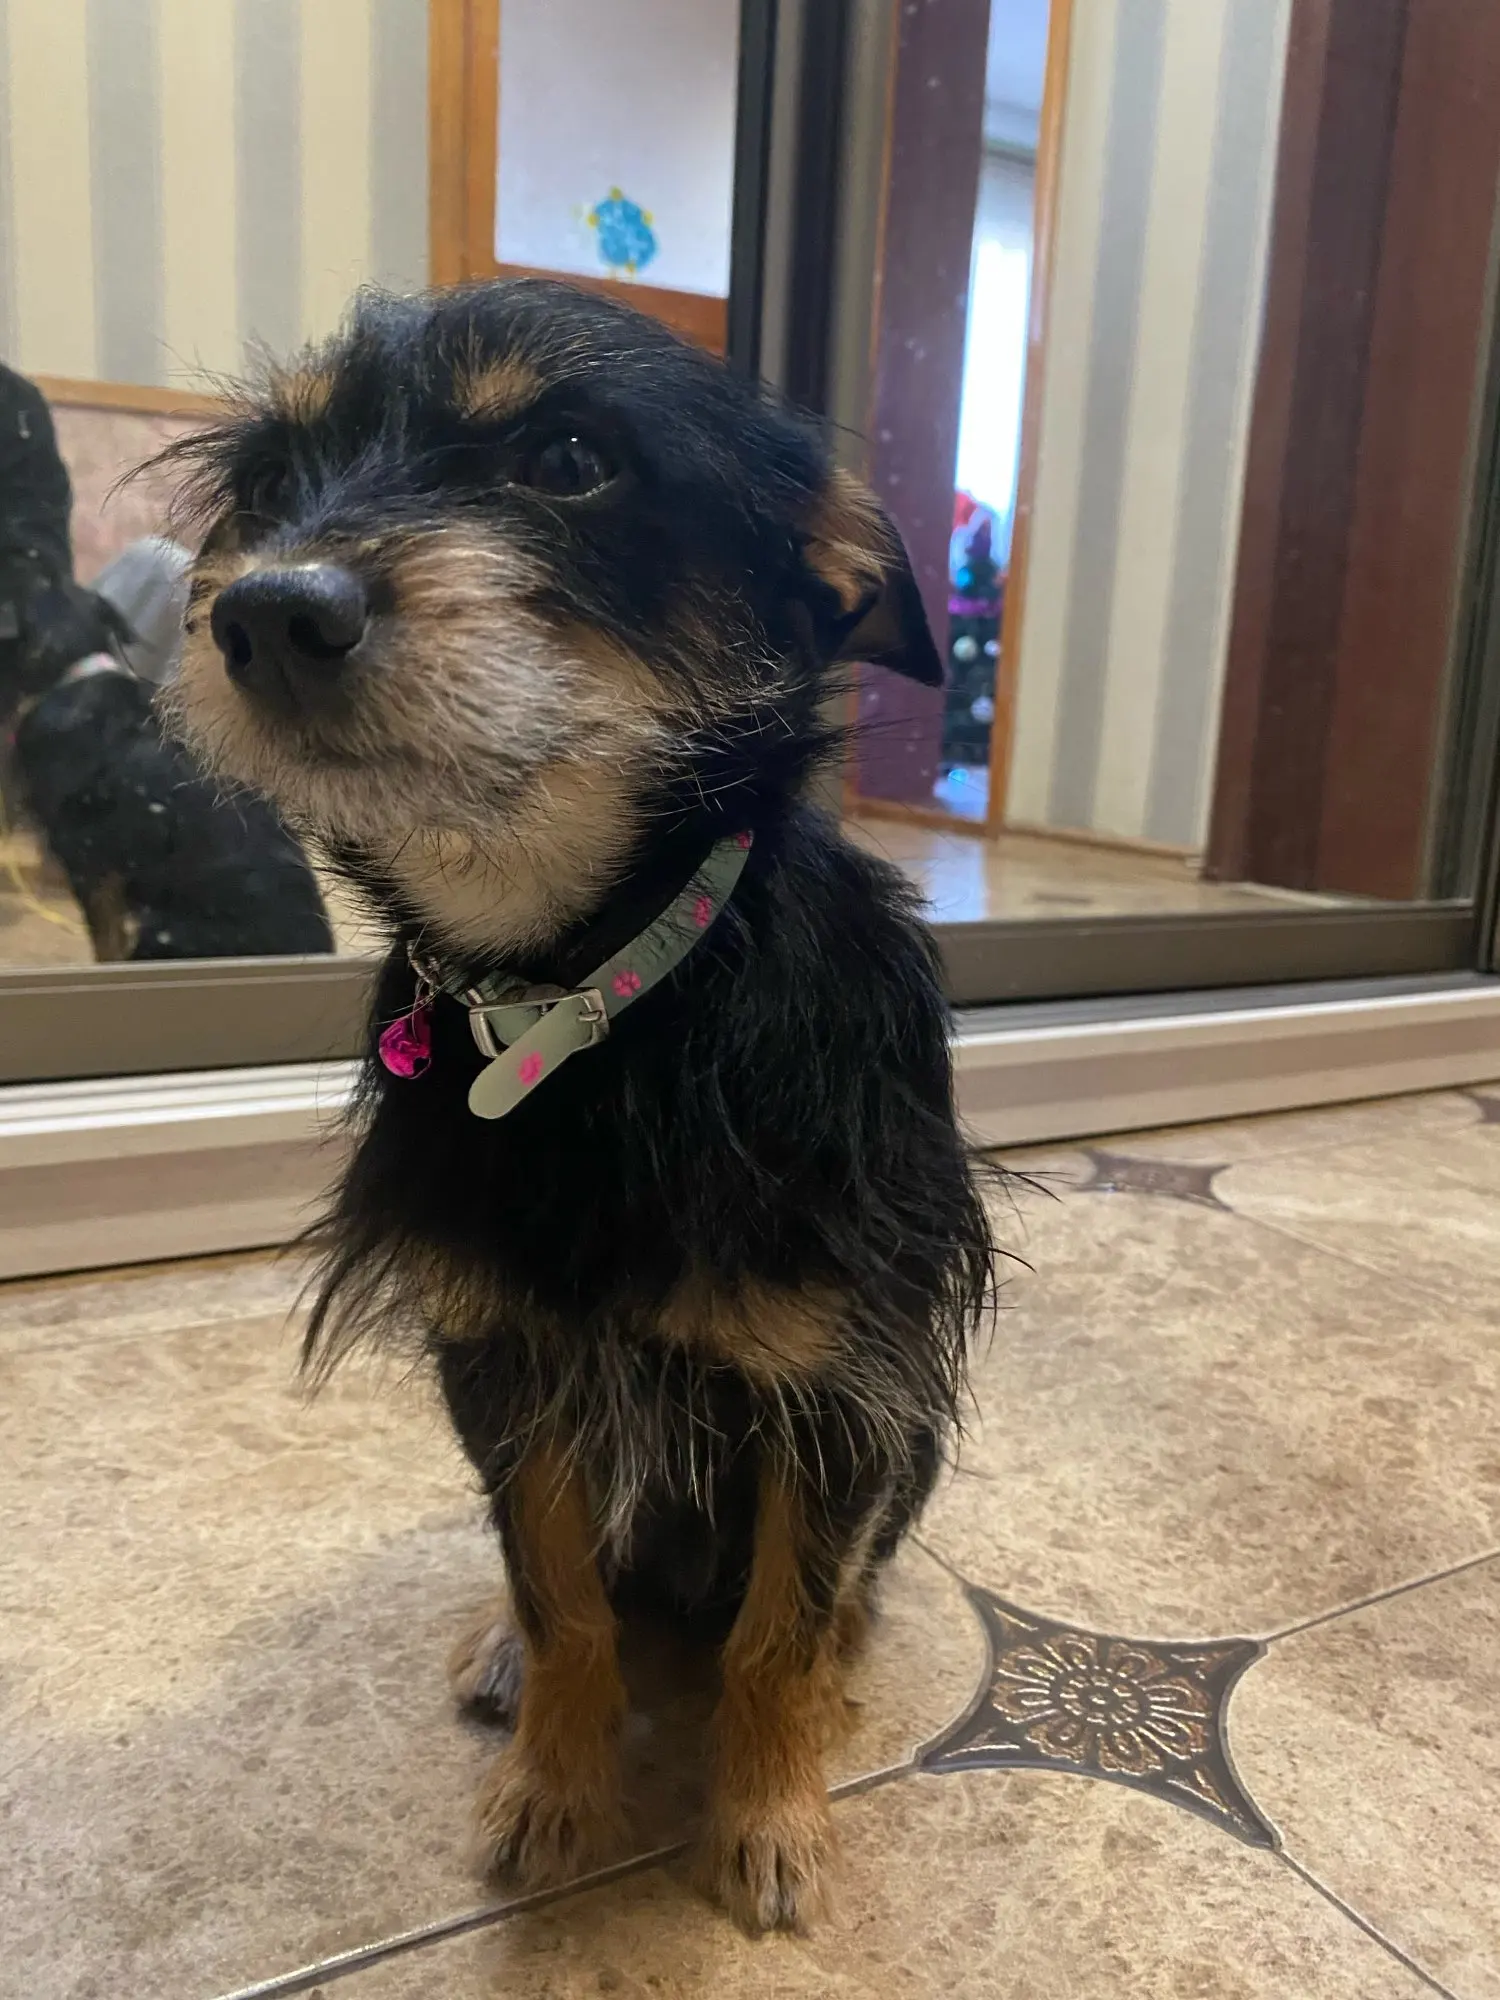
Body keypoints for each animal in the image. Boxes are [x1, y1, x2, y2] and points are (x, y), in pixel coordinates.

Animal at [162, 278, 995, 1932]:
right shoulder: (501, 1359)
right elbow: (559, 1595)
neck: (587, 994)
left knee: (839, 1593)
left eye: (567, 459)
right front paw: (552, 1786)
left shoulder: (833, 1385)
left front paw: (771, 1815)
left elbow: (776, 1627)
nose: (266, 612)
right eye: (272, 482)